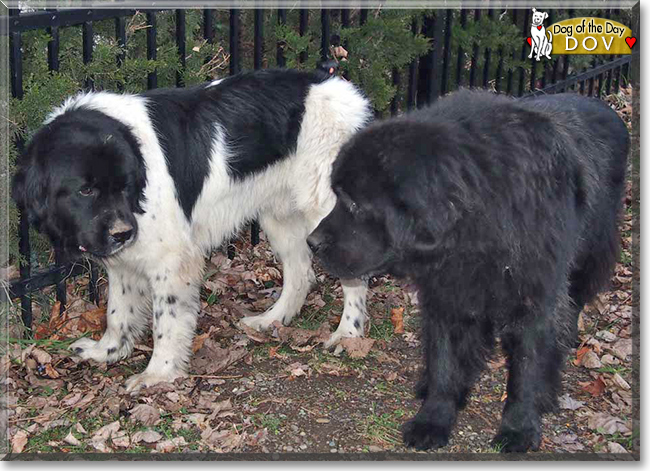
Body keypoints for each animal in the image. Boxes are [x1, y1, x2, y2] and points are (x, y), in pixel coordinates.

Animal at [12, 69, 372, 390]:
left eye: (125, 186)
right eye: (86, 190)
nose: (122, 233)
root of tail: (349, 93)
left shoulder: (171, 261)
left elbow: (166, 321)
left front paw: (158, 374)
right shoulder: (124, 259)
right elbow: (118, 311)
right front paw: (107, 351)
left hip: (324, 210)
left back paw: (348, 334)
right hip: (278, 215)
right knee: (300, 273)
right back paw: (273, 319)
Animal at [308, 89, 628, 454]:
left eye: (355, 204)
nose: (311, 242)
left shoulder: (533, 294)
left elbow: (527, 365)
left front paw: (519, 427)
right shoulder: (448, 293)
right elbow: (445, 360)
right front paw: (433, 418)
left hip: (589, 252)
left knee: (574, 300)